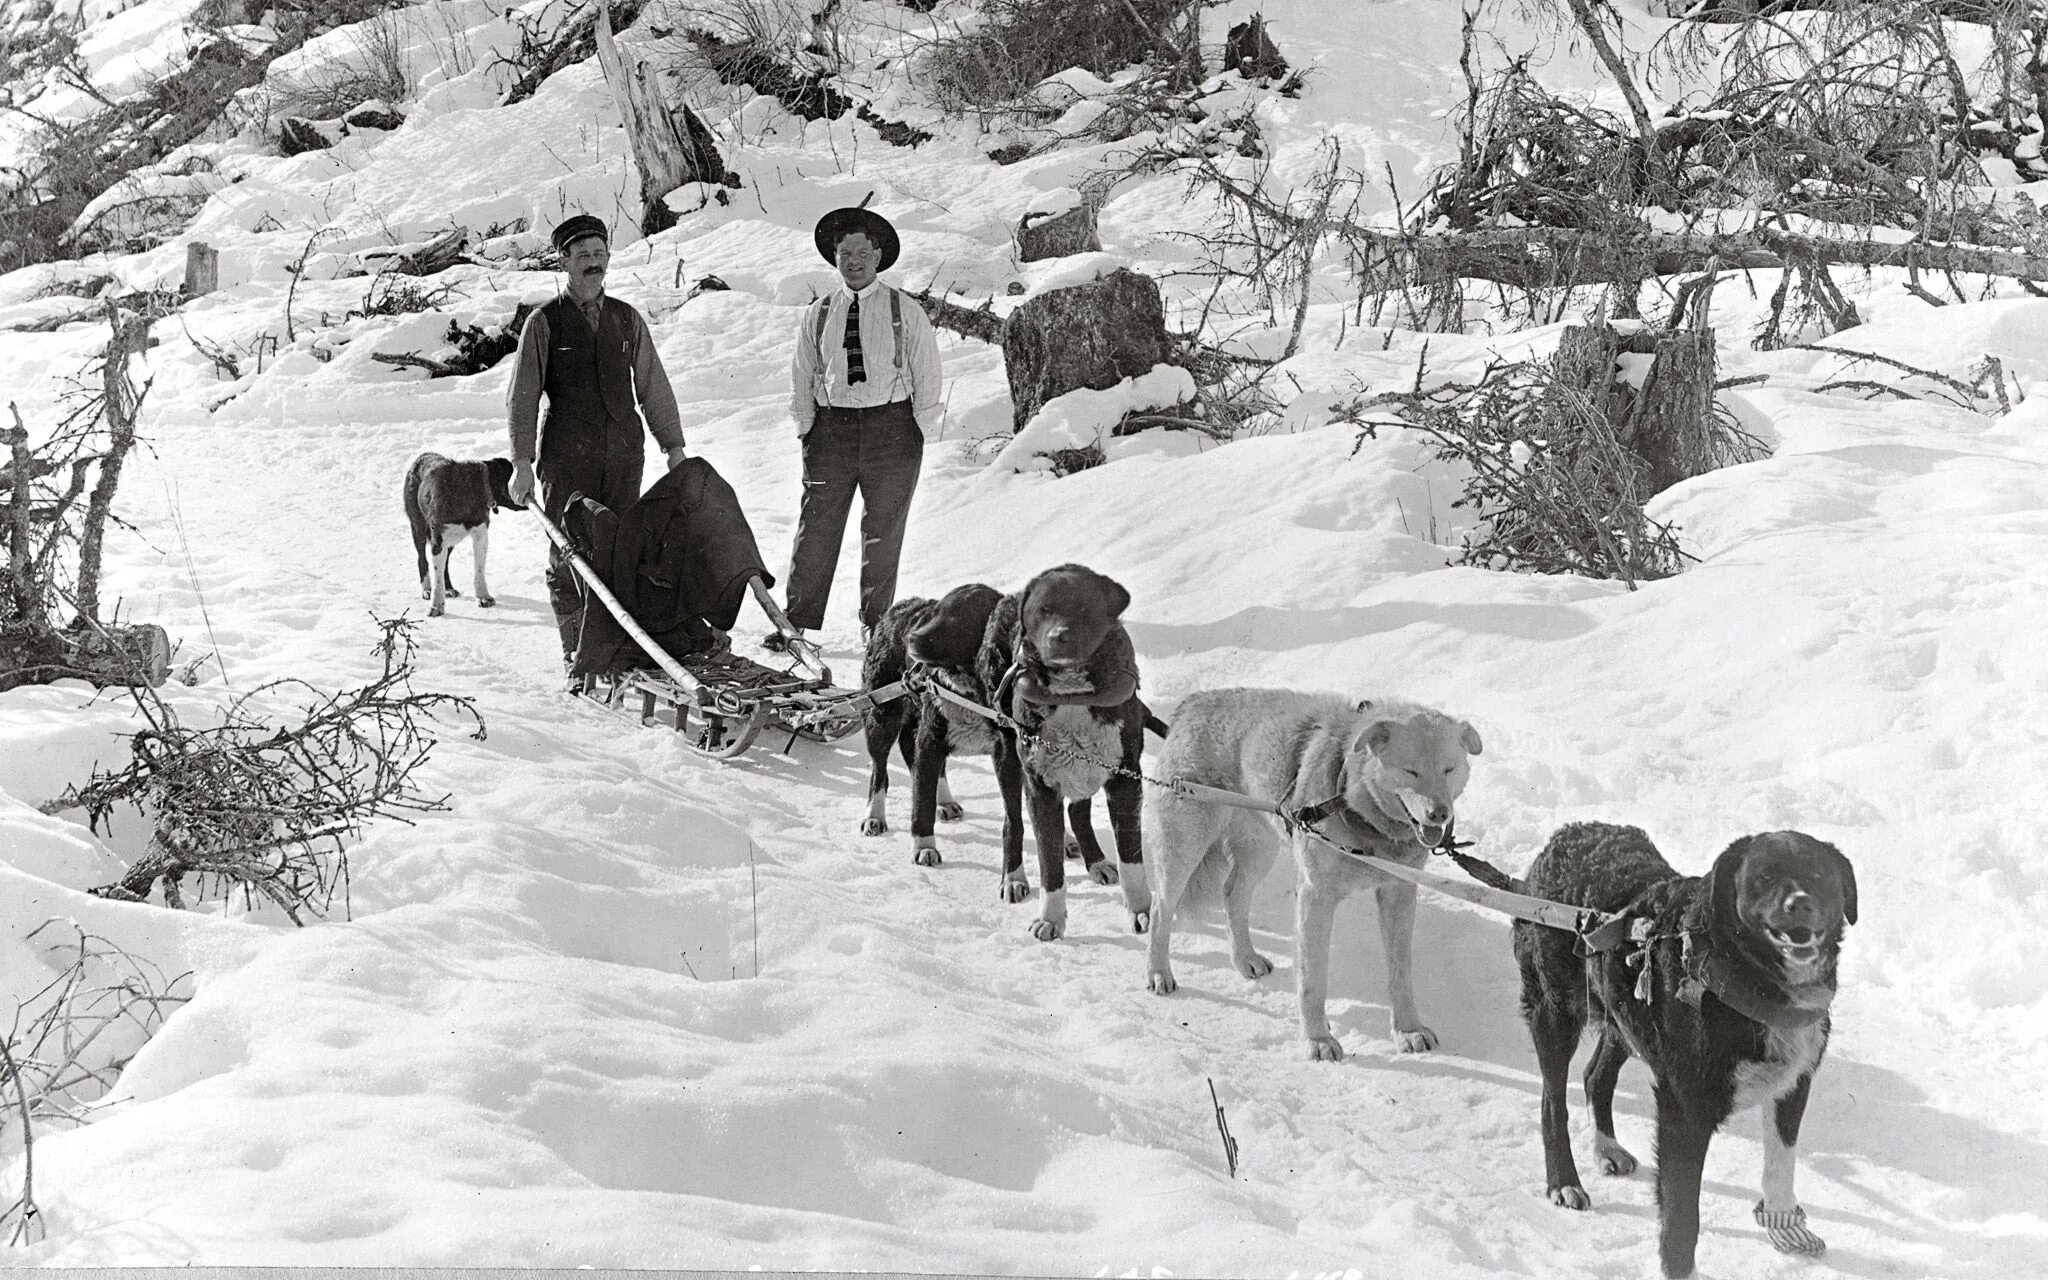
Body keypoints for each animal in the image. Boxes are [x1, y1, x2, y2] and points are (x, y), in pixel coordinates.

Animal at [401, 448, 524, 614]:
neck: (475, 488)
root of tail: (422, 456)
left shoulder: (480, 534)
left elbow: (479, 569)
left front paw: (483, 596)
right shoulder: (438, 540)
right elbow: (437, 577)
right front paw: (436, 605)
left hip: (452, 540)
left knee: (445, 563)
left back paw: (449, 589)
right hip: (418, 526)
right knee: (422, 559)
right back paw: (427, 589)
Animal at [1146, 688, 1482, 1056]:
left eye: (1448, 768)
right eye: (1411, 771)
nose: (1439, 814)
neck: (1352, 801)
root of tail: (1193, 701)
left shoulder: (1398, 894)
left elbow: (1400, 973)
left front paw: (1408, 1030)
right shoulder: (1315, 897)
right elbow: (1313, 980)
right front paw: (1318, 1039)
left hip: (1259, 850)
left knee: (1232, 894)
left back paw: (1244, 957)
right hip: (1184, 850)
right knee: (1160, 908)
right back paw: (1158, 972)